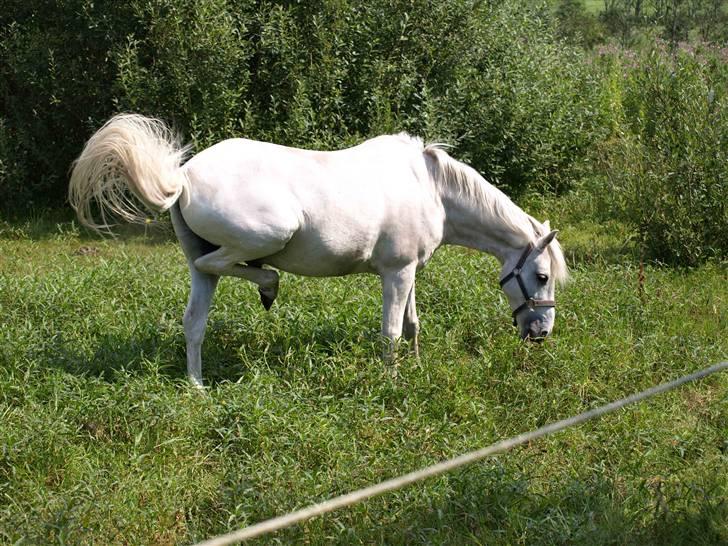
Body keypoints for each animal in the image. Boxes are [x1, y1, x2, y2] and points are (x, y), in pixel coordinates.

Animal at [68, 114, 568, 384]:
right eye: (541, 276)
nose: (541, 332)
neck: (431, 188)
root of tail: (184, 177)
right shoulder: (396, 272)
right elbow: (391, 331)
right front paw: (392, 380)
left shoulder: (409, 272)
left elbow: (412, 324)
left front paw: (416, 365)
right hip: (268, 234)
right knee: (231, 263)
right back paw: (268, 285)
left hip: (200, 274)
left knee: (194, 320)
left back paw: (198, 387)